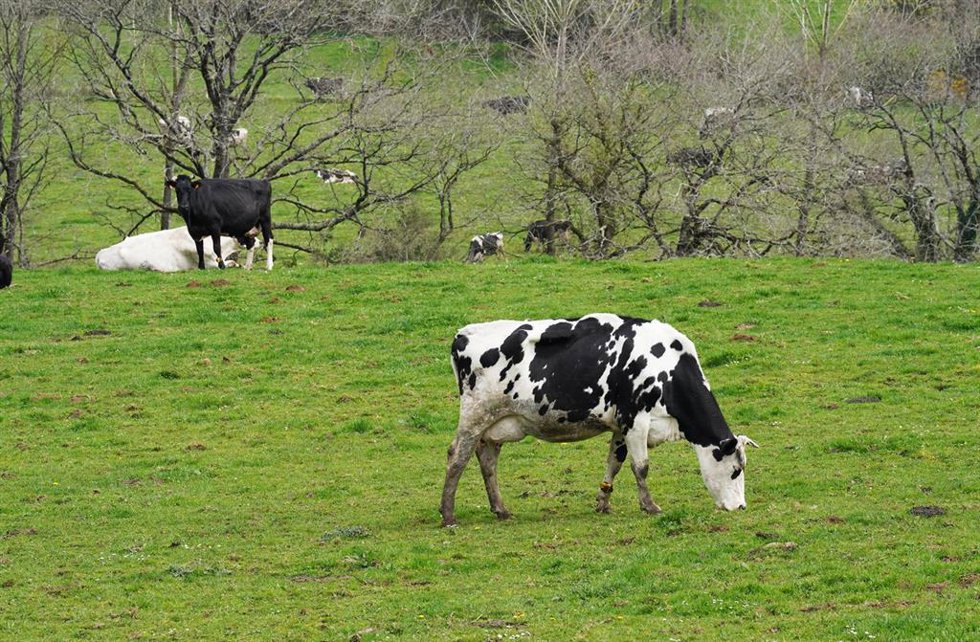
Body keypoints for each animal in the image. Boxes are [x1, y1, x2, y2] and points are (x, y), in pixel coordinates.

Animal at [440, 314, 758, 526]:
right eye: (735, 470)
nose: (742, 507)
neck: (667, 368)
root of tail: (464, 333)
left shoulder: (621, 425)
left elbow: (615, 464)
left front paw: (603, 503)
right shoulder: (636, 420)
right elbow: (641, 467)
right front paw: (650, 506)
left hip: (497, 424)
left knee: (487, 460)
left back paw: (500, 509)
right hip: (475, 414)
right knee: (457, 456)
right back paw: (448, 515)